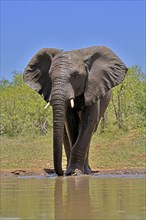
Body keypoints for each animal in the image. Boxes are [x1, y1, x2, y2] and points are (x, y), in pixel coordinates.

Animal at [23, 46, 128, 175]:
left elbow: (88, 122)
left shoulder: (93, 87)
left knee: (91, 130)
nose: (61, 173)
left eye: (76, 76)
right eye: (50, 77)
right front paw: (71, 172)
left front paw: (76, 172)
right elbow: (71, 124)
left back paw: (87, 170)